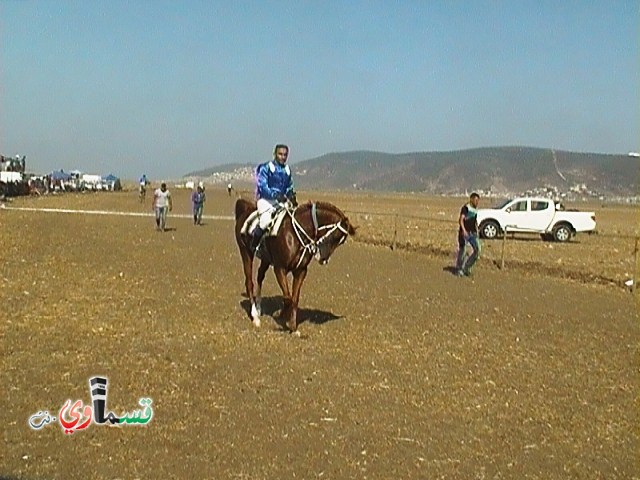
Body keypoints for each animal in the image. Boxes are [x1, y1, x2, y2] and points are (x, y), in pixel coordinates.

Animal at [234, 199, 356, 334]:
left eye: (341, 242)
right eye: (336, 237)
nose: (324, 259)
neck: (295, 234)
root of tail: (244, 209)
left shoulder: (300, 271)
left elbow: (294, 298)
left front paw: (292, 325)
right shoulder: (280, 268)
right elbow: (288, 297)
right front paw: (284, 319)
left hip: (265, 259)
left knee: (260, 277)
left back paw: (259, 309)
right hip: (245, 253)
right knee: (249, 283)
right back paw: (255, 317)